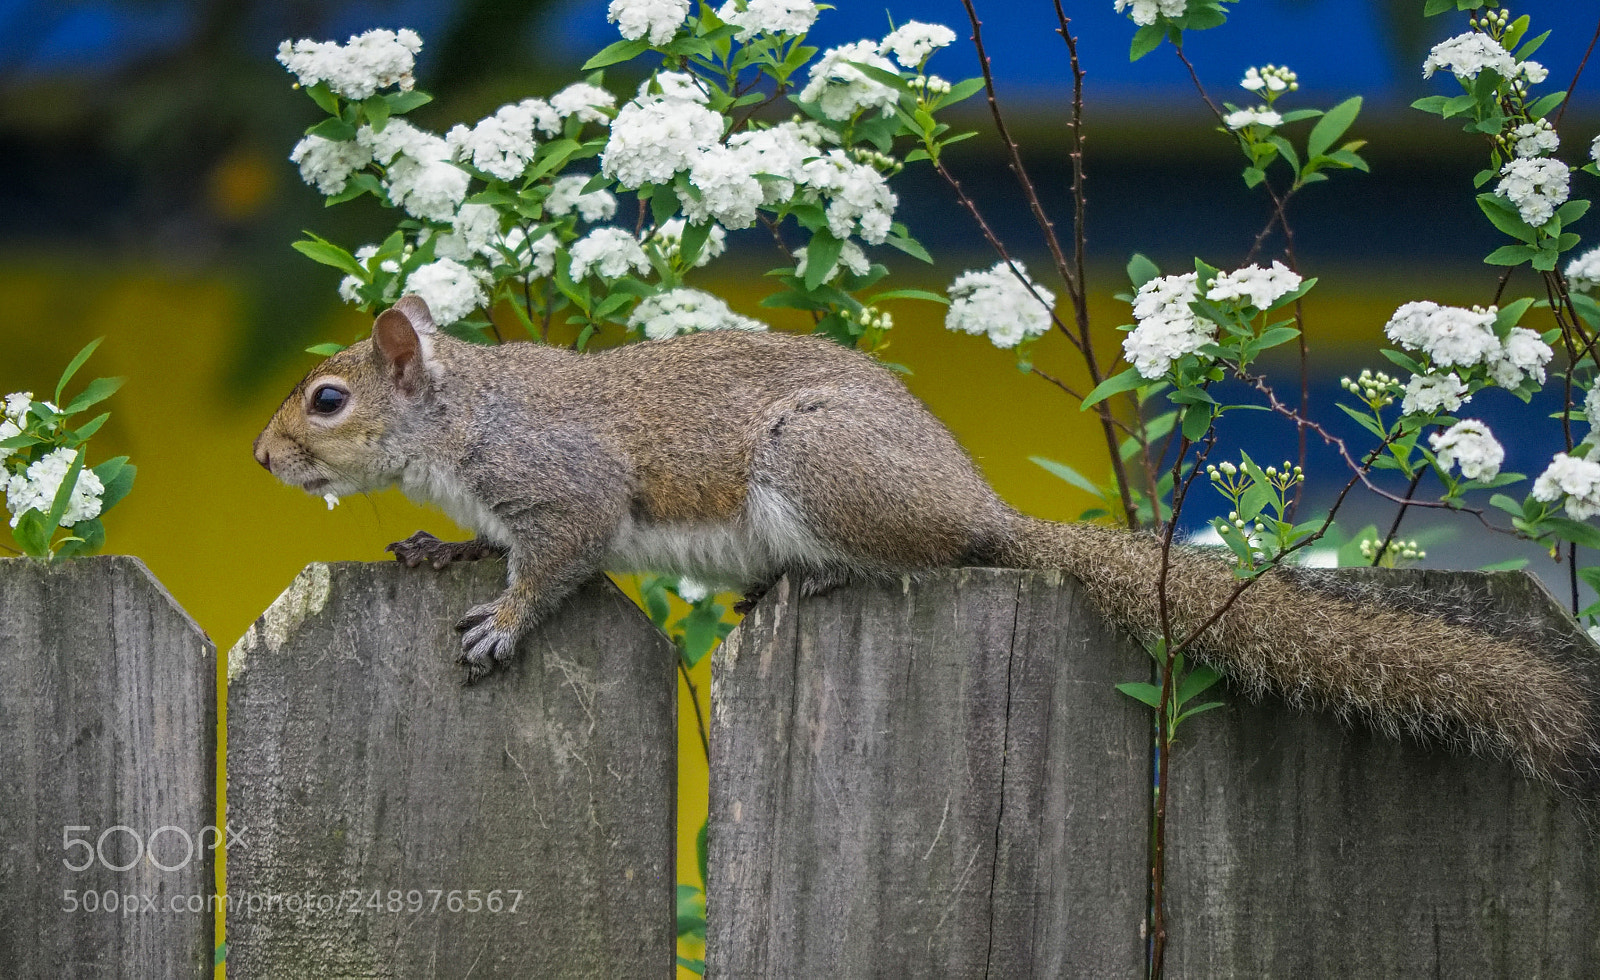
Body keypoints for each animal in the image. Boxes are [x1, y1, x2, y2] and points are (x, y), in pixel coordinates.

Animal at [255, 295, 1600, 797]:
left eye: (326, 398)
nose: (265, 460)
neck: (463, 419)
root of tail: (969, 498)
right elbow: (478, 543)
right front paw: (437, 551)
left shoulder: (565, 489)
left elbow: (556, 562)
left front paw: (502, 619)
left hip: (820, 469)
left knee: (927, 563)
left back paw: (815, 578)